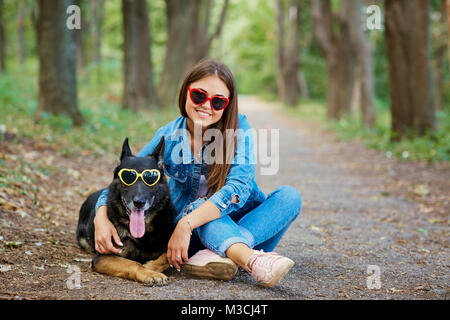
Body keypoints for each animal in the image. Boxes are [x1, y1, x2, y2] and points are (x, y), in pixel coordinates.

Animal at [76, 138, 175, 284]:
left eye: (150, 179)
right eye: (128, 178)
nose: (139, 203)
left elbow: (167, 257)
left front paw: (151, 267)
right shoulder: (103, 257)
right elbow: (133, 263)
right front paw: (150, 273)